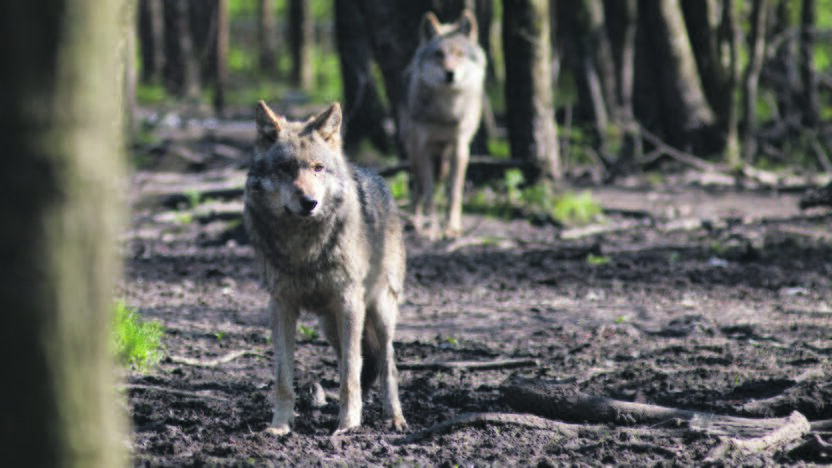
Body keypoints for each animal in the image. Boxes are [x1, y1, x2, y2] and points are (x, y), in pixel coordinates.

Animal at [242, 99, 408, 436]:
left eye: (318, 168)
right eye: (285, 168)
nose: (309, 202)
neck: (303, 247)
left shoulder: (349, 302)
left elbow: (349, 376)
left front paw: (348, 425)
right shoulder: (281, 305)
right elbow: (283, 378)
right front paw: (280, 426)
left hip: (378, 312)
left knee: (386, 364)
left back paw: (394, 418)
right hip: (330, 326)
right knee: (357, 361)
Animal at [404, 9, 488, 239]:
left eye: (459, 54)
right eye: (439, 54)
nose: (450, 74)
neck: (446, 110)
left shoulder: (460, 147)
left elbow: (454, 193)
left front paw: (452, 227)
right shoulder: (423, 148)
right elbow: (429, 192)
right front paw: (430, 228)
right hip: (414, 152)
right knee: (417, 187)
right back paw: (414, 220)